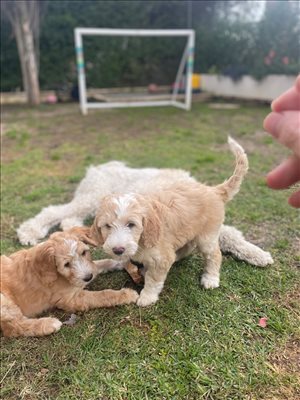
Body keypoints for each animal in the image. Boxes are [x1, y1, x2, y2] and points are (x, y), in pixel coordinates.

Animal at [0, 230, 138, 336]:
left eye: (84, 253)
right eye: (66, 264)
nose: (88, 278)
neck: (57, 273)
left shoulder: (88, 270)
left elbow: (98, 264)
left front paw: (117, 263)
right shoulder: (70, 299)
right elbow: (102, 295)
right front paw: (126, 295)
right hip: (4, 301)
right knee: (13, 328)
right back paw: (49, 324)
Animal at [91, 138, 248, 306]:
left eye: (131, 224)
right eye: (107, 226)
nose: (118, 250)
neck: (141, 241)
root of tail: (213, 190)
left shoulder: (161, 259)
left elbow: (153, 280)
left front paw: (147, 297)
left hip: (207, 236)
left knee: (214, 255)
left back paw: (210, 279)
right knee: (188, 246)